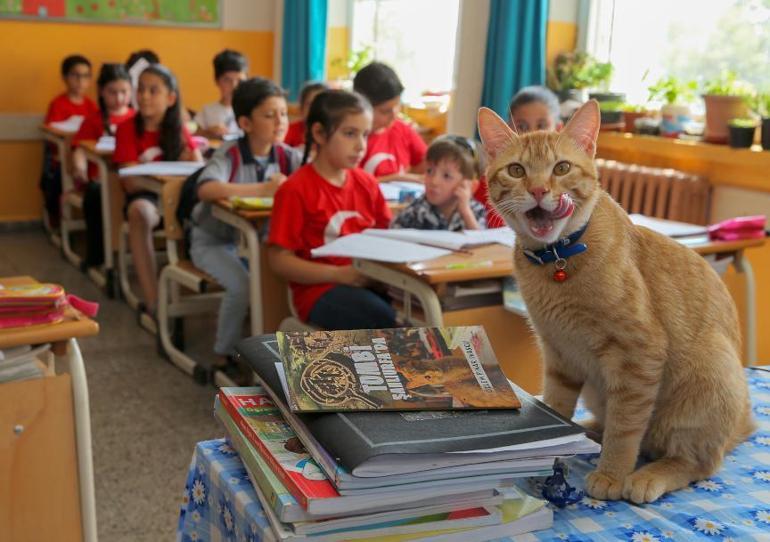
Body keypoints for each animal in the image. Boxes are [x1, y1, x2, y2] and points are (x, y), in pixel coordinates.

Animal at [476, 101, 752, 506]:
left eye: (561, 168)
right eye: (517, 170)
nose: (540, 190)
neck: (558, 262)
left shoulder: (639, 355)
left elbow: (625, 428)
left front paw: (612, 473)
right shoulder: (559, 355)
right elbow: (556, 406)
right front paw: (553, 452)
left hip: (710, 371)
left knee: (698, 462)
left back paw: (648, 474)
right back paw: (587, 429)